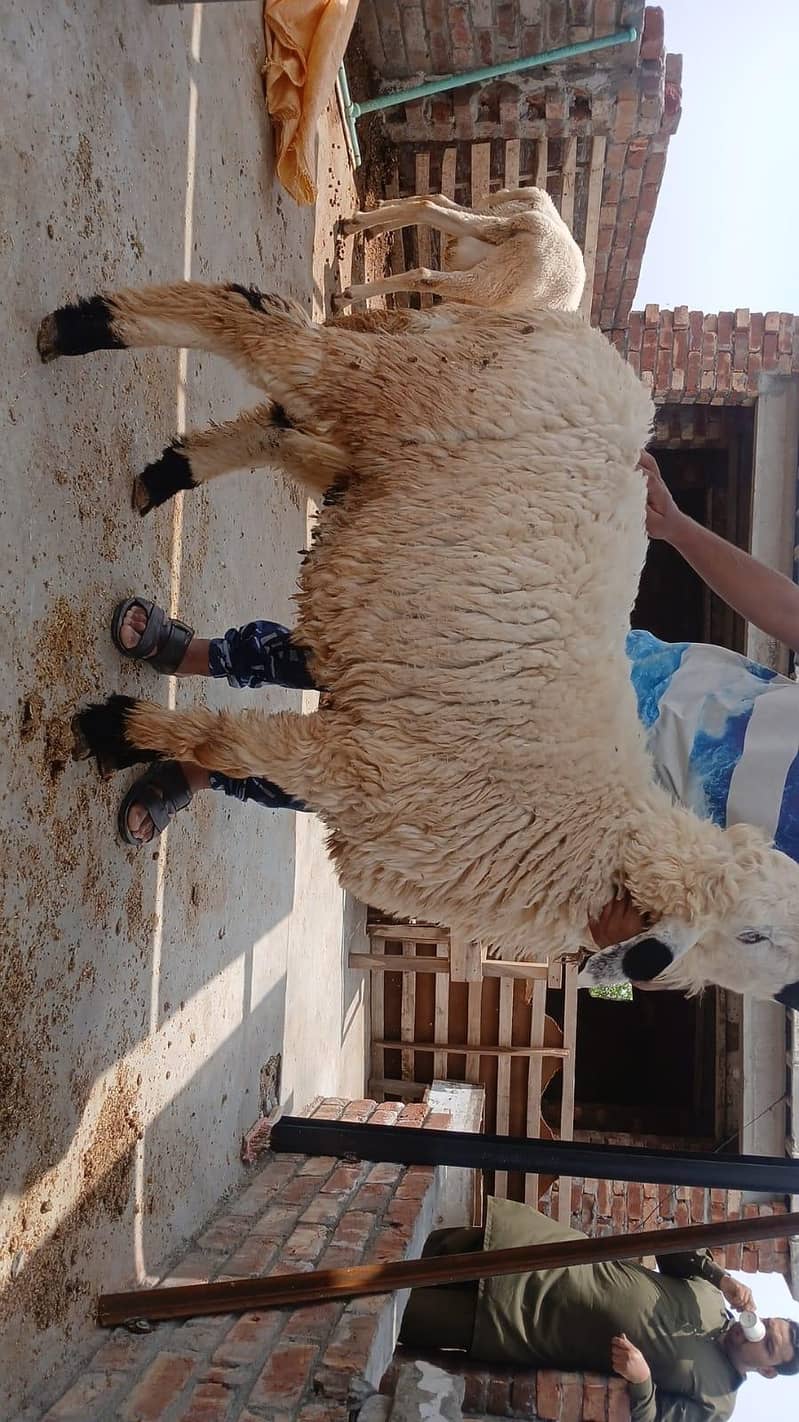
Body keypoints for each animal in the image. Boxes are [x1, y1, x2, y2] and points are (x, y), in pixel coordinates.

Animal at [37, 279, 799, 1008]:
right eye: (754, 935)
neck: (596, 836)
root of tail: (584, 340)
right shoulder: (362, 767)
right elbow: (219, 741)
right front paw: (111, 728)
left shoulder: (362, 787)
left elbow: (225, 748)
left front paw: (120, 737)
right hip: (415, 389)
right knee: (262, 326)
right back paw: (82, 329)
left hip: (388, 452)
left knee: (283, 424)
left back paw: (165, 474)